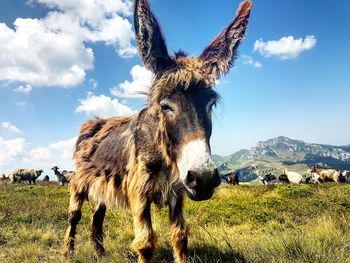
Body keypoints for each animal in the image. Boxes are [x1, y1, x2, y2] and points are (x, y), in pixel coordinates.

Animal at [62, 1, 252, 262]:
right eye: (165, 106)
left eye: (210, 104)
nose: (203, 177)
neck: (162, 155)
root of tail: (93, 122)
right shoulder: (140, 191)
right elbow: (145, 243)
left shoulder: (177, 191)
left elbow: (180, 237)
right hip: (81, 180)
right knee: (74, 216)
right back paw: (67, 253)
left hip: (103, 184)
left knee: (97, 216)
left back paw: (100, 253)